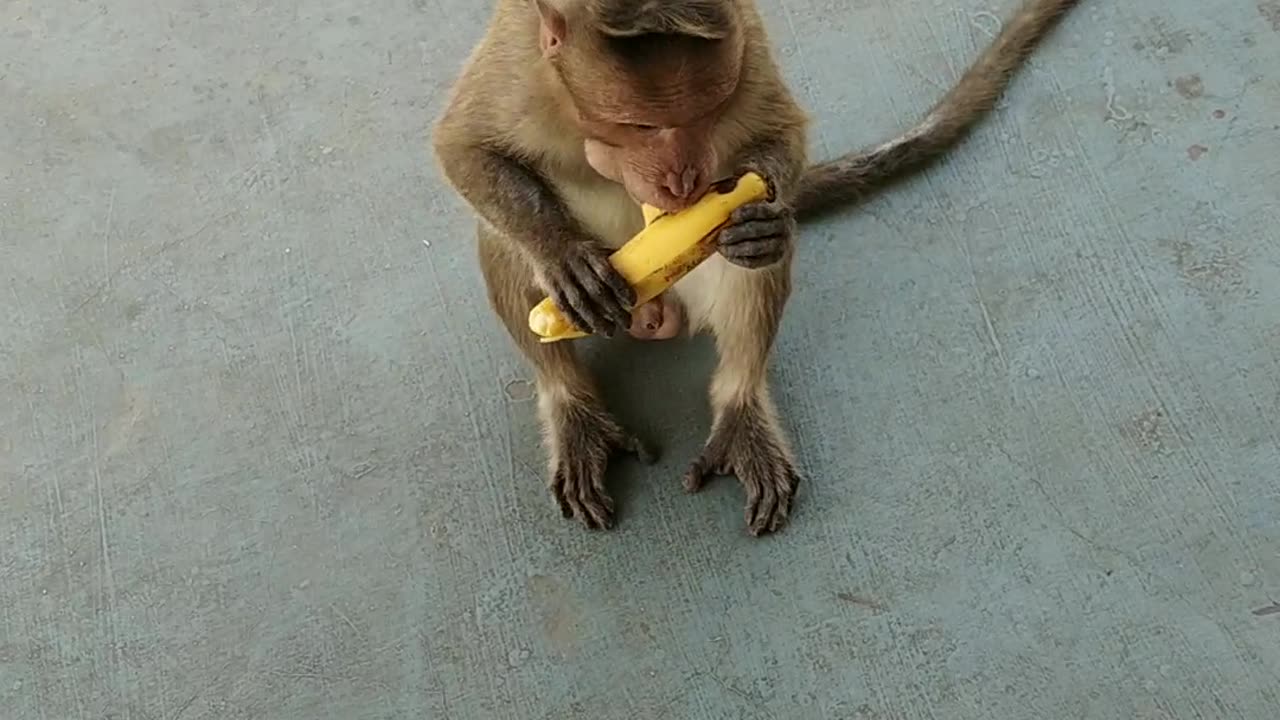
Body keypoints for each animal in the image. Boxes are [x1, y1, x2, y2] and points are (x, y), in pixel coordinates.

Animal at [430, 0, 1080, 532]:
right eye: (640, 126)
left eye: (706, 111)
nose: (683, 179)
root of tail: (654, 315)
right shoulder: (517, 67)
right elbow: (463, 148)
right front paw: (562, 253)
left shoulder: (749, 49)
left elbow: (781, 132)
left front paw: (765, 219)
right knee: (501, 240)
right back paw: (573, 407)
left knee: (750, 265)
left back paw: (741, 401)